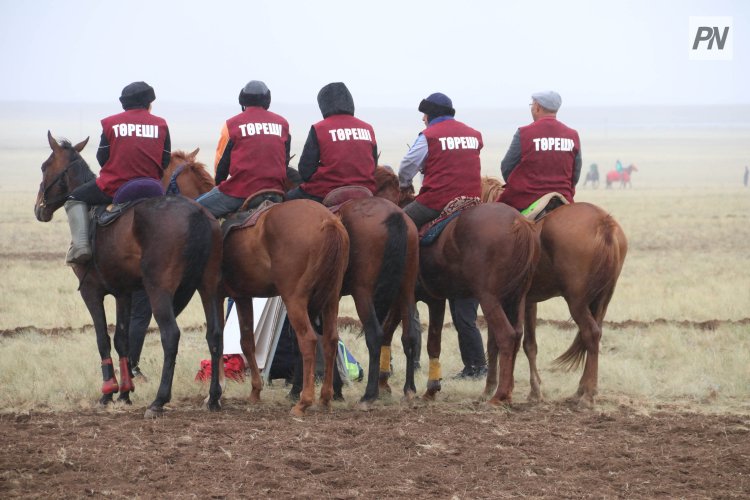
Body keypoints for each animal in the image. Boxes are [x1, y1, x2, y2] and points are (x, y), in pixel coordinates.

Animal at [34, 131, 223, 416]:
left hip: (159, 290)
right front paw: (124, 392)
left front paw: (108, 392)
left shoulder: (91, 291)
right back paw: (213, 397)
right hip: (208, 288)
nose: (39, 208)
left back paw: (159, 400)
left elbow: (102, 337)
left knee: (170, 335)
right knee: (214, 335)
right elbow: (122, 338)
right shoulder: (124, 294)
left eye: (45, 167)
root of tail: (197, 214)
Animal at [376, 170, 540, 404]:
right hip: (516, 298)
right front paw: (431, 389)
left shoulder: (404, 297)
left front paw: (384, 383)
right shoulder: (435, 299)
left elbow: (390, 331)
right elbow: (433, 342)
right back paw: (505, 391)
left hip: (489, 299)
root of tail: (519, 222)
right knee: (516, 335)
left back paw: (499, 395)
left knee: (507, 337)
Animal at [482, 176, 628, 406]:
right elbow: (529, 343)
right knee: (595, 334)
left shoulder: (500, 299)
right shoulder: (528, 301)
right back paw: (581, 389)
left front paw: (490, 389)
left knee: (591, 334)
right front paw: (534, 391)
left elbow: (495, 341)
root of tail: (604, 223)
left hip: (577, 301)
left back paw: (588, 394)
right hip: (603, 298)